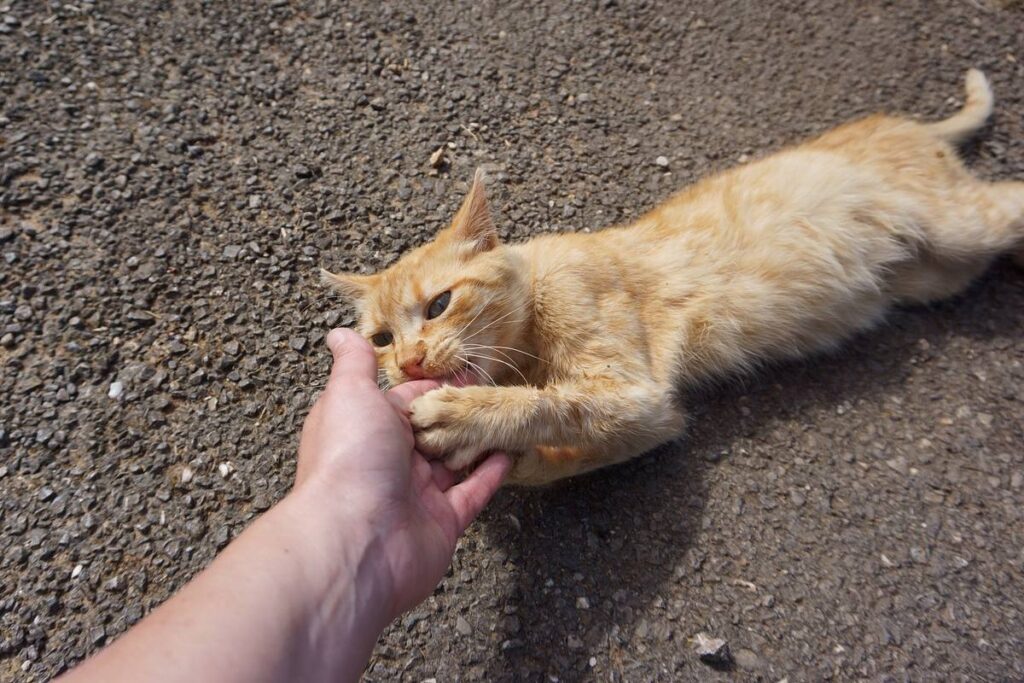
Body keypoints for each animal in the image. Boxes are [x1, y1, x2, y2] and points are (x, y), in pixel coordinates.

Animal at [325, 70, 1024, 485]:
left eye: (439, 304)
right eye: (381, 340)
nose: (410, 363)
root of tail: (900, 123)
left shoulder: (635, 392)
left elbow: (551, 404)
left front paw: (466, 416)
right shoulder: (651, 421)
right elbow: (555, 455)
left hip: (965, 224)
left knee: (1010, 196)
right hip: (940, 271)